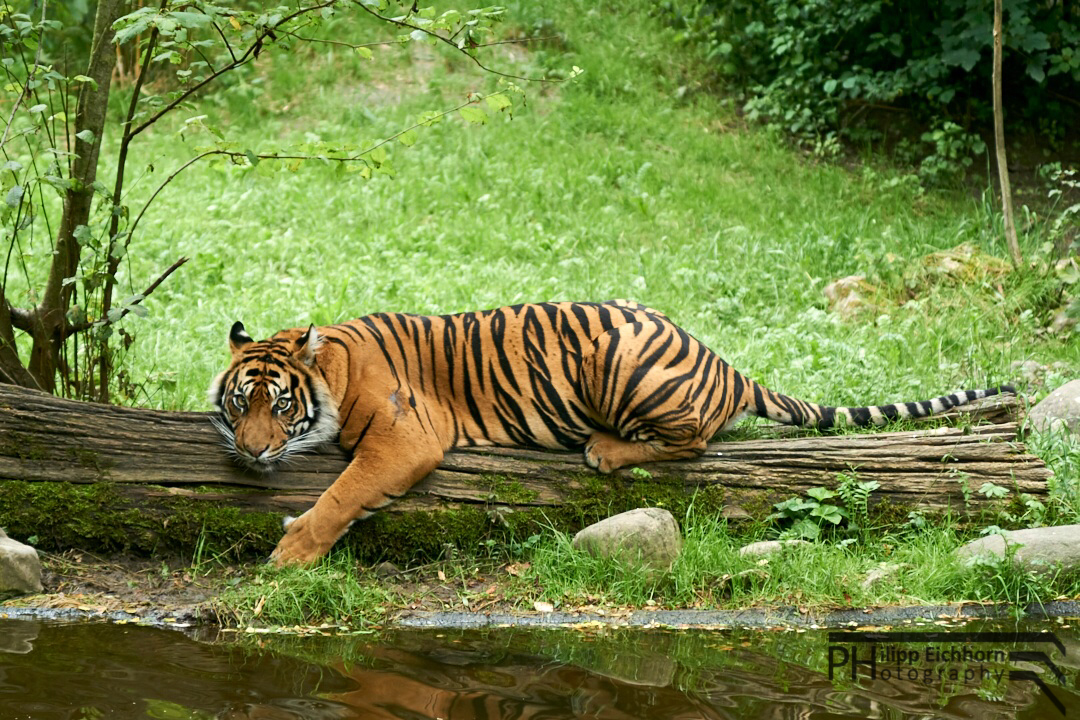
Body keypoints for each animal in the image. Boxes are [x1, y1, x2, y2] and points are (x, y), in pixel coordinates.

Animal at [208, 302, 1010, 565]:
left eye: (279, 406)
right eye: (239, 405)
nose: (252, 451)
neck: (334, 368)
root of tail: (724, 363)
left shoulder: (406, 439)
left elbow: (344, 493)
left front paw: (291, 553)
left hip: (618, 359)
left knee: (695, 439)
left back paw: (604, 448)